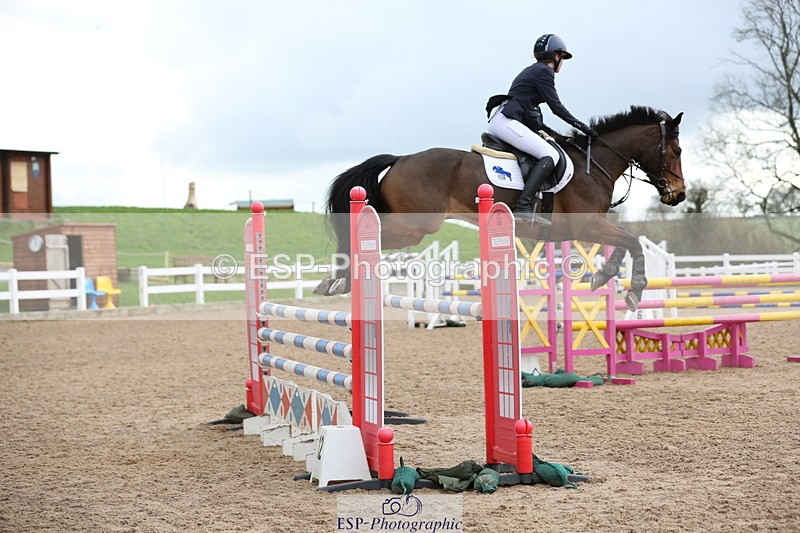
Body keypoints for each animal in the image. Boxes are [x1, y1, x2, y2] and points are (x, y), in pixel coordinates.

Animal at [314, 105, 686, 310]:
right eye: (677, 151)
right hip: (416, 226)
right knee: (365, 233)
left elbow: (624, 244)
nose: (679, 195)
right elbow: (633, 241)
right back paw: (340, 280)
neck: (594, 164)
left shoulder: (590, 228)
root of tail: (400, 159)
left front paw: (602, 276)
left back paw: (337, 281)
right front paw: (635, 291)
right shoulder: (587, 226)